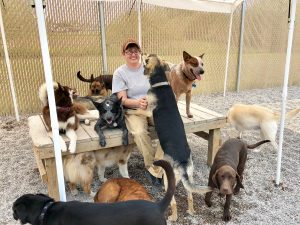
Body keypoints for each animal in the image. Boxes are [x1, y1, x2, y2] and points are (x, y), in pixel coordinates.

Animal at [144, 53, 212, 221]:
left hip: (168, 179)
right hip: (190, 178)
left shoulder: (147, 110)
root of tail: (182, 163)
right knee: (190, 196)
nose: (142, 53)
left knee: (173, 201)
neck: (161, 83)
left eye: (147, 58)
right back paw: (191, 211)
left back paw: (173, 217)